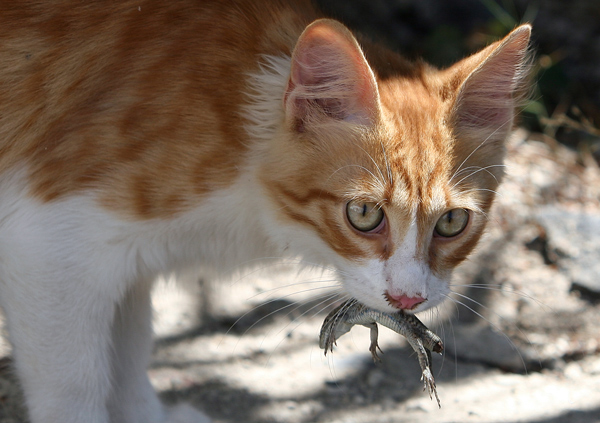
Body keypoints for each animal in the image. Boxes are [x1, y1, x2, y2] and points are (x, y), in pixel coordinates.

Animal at [0, 0, 528, 423]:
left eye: (452, 223)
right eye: (363, 214)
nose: (407, 299)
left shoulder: (124, 263)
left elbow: (128, 356)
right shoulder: (51, 245)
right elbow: (76, 386)